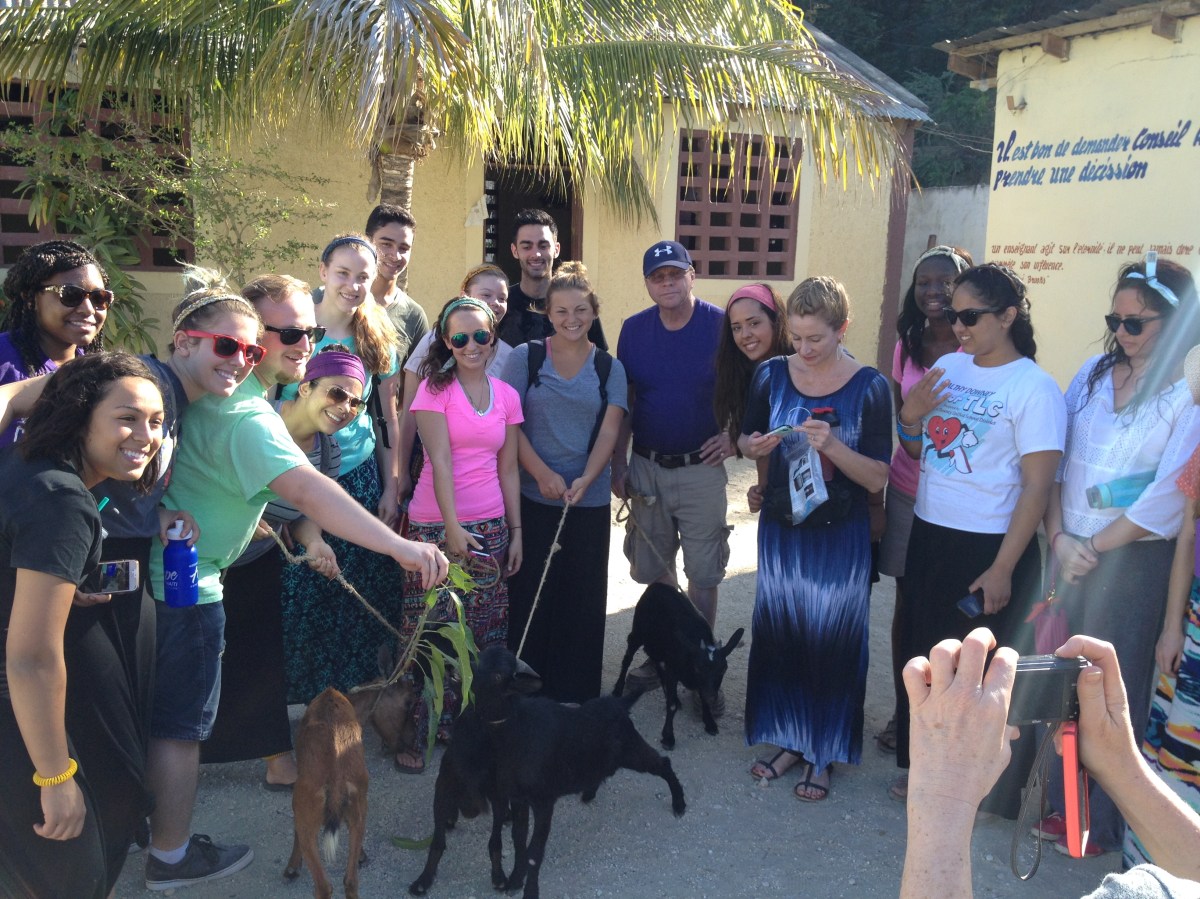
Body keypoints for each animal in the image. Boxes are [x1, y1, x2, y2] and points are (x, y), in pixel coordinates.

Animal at [284, 688, 369, 899]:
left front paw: (292, 868)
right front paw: (361, 856)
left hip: (304, 810)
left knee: (323, 886)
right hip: (358, 802)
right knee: (351, 881)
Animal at [409, 646, 686, 899]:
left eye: (498, 675)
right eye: (481, 655)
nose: (459, 672)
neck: (514, 731)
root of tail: (618, 702)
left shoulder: (543, 801)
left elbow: (534, 852)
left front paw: (529, 891)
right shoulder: (518, 799)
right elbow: (519, 840)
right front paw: (514, 880)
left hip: (633, 752)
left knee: (663, 764)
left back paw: (679, 804)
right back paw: (589, 792)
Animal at [612, 583, 745, 749]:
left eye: (723, 669)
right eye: (697, 668)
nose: (712, 697)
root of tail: (656, 585)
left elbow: (700, 696)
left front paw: (709, 721)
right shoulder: (675, 671)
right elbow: (672, 706)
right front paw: (668, 737)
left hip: (658, 646)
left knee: (657, 663)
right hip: (638, 632)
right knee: (627, 659)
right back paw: (618, 689)